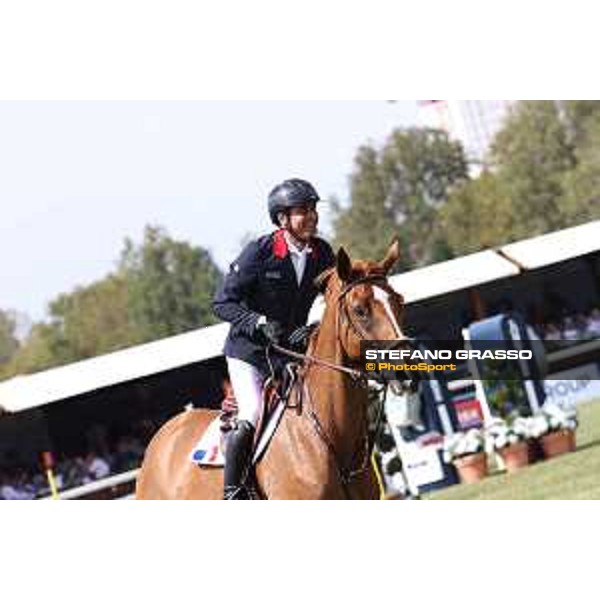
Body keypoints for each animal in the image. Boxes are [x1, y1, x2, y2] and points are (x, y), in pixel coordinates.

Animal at [137, 241, 408, 500]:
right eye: (360, 310)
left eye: (399, 301)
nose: (405, 371)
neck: (329, 437)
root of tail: (162, 436)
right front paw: (269, 329)